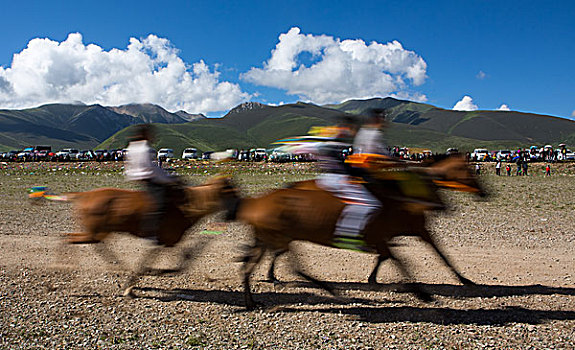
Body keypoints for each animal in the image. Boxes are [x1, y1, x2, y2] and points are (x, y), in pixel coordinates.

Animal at [234, 156, 486, 308]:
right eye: (465, 169)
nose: (485, 193)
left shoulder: (400, 233)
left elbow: (395, 256)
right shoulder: (403, 231)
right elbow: (413, 257)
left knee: (268, 256)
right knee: (279, 257)